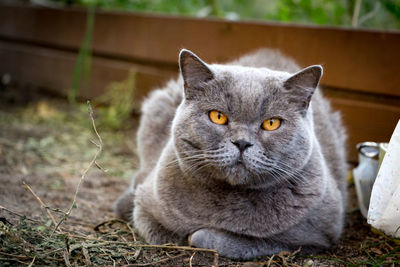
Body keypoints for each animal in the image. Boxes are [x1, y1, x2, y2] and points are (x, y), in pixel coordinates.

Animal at [115, 48, 346, 260]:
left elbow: (248, 242)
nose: (242, 143)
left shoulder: (316, 237)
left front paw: (199, 236)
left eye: (272, 123)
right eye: (217, 116)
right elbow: (161, 231)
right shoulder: (146, 207)